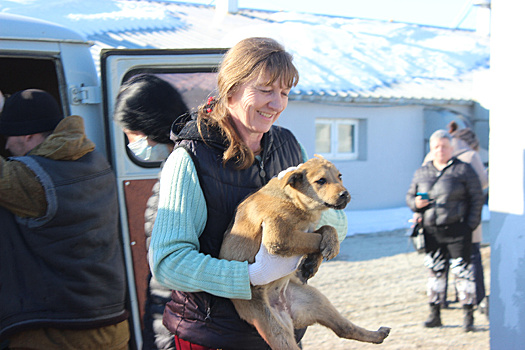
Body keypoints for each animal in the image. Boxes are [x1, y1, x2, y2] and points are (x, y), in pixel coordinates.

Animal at [218, 156, 388, 350]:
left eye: (340, 176)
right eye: (321, 181)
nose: (344, 194)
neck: (292, 200)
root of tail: (283, 306)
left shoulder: (305, 228)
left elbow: (324, 229)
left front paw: (317, 257)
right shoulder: (280, 236)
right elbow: (312, 239)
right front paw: (325, 250)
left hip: (316, 300)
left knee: (344, 329)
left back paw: (378, 334)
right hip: (275, 329)